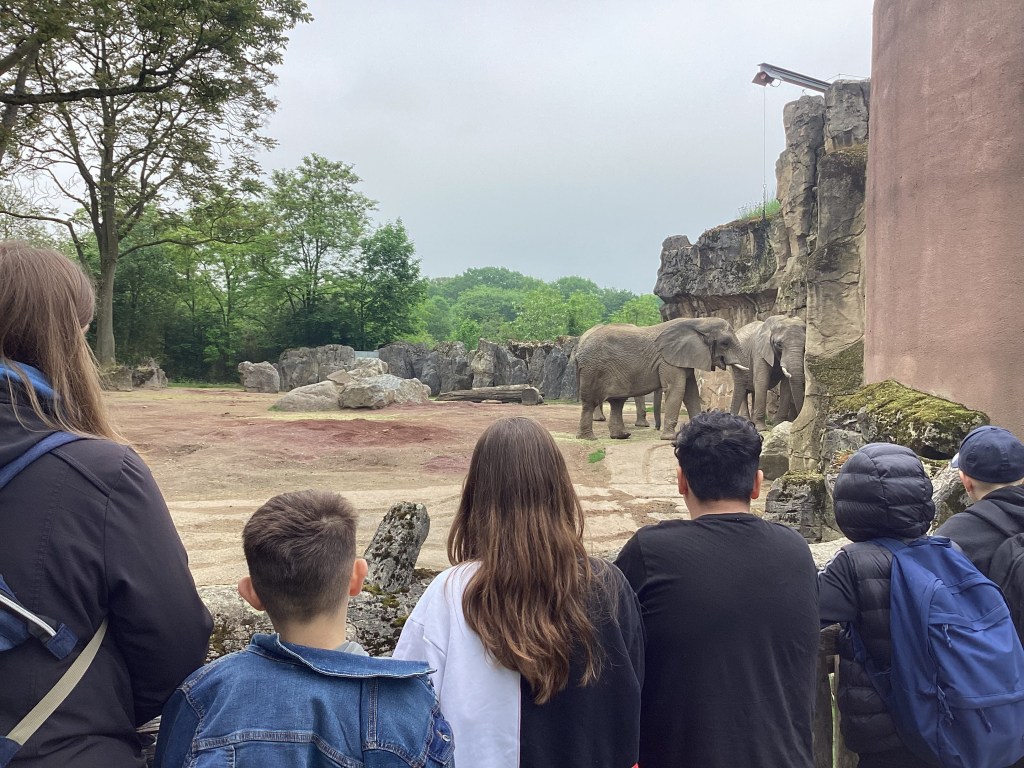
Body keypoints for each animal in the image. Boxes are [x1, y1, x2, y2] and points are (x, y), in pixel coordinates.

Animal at [575, 318, 745, 440]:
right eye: (725, 343)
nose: (656, 428)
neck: (699, 321)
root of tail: (580, 347)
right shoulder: (667, 361)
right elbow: (677, 389)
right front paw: (671, 438)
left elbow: (691, 392)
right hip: (592, 369)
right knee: (590, 402)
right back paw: (588, 438)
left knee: (617, 402)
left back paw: (621, 436)